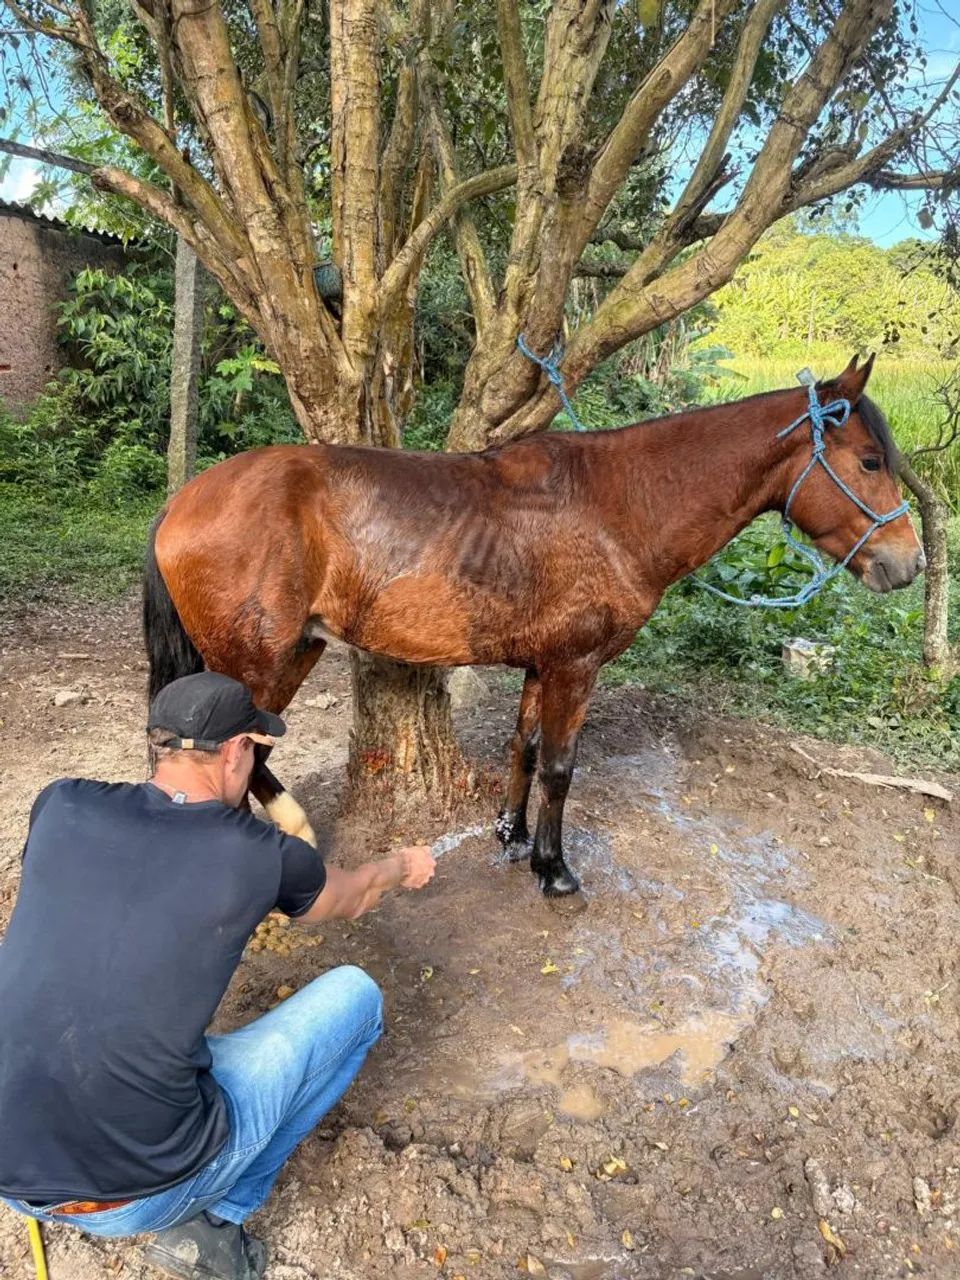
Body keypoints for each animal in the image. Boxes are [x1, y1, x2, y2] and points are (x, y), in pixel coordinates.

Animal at [143, 354, 924, 896]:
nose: (908, 563)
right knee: (233, 756)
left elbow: (522, 749)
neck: (617, 506)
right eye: (869, 459)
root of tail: (184, 499)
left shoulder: (541, 664)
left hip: (293, 651)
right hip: (258, 662)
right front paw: (553, 867)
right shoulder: (575, 667)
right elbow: (558, 765)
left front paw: (512, 836)